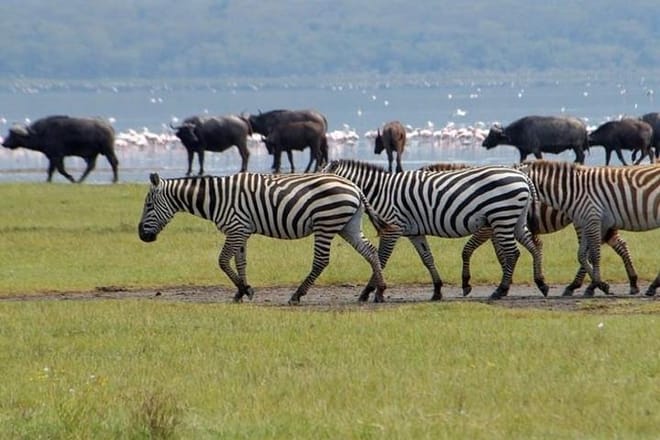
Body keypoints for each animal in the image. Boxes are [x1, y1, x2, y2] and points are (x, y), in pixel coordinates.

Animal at [137, 172, 393, 304]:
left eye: (148, 205)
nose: (141, 235)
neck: (215, 198)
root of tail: (355, 187)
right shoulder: (241, 231)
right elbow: (240, 262)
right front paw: (241, 291)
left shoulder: (236, 228)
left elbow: (222, 261)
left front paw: (245, 289)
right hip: (347, 225)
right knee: (370, 251)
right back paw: (379, 291)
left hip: (325, 223)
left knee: (321, 261)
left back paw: (297, 295)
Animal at [323, 159, 544, 300]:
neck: (380, 191)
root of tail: (522, 175)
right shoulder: (414, 232)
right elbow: (427, 258)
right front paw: (437, 290)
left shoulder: (393, 228)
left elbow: (381, 259)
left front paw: (370, 291)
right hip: (513, 219)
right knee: (533, 245)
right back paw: (541, 284)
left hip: (502, 216)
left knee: (513, 253)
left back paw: (501, 290)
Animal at [420, 162, 645, 296]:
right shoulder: (496, 228)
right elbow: (502, 254)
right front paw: (507, 280)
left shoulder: (488, 228)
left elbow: (469, 249)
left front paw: (473, 283)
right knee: (617, 244)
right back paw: (626, 283)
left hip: (584, 221)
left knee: (601, 248)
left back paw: (584, 285)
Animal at [522, 160, 660, 296]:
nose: (532, 218)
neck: (574, 191)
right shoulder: (587, 223)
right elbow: (581, 255)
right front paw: (600, 284)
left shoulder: (592, 220)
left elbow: (594, 255)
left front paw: (600, 283)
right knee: (620, 245)